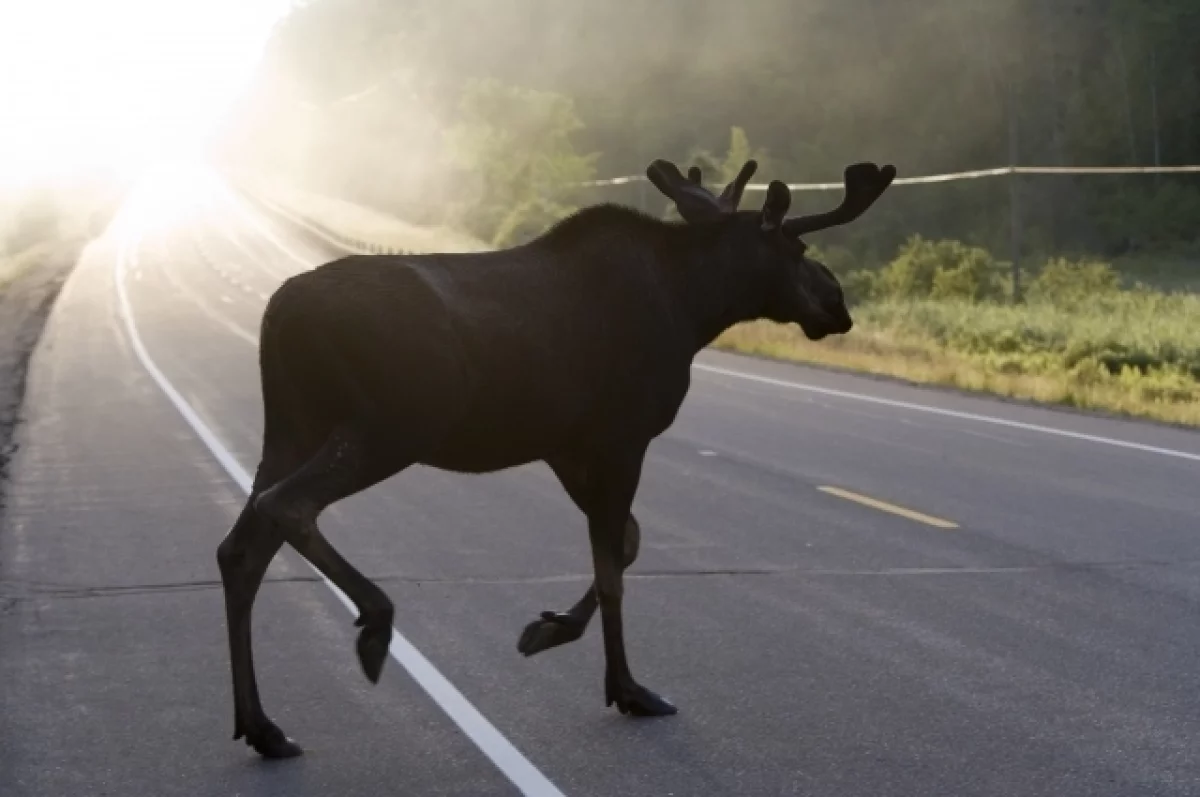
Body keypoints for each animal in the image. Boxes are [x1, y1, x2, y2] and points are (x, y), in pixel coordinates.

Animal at [216, 152, 897, 758]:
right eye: (797, 251)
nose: (838, 304)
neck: (695, 308)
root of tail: (277, 314)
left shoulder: (568, 446)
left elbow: (627, 543)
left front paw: (549, 628)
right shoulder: (621, 435)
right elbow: (613, 567)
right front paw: (626, 689)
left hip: (292, 428)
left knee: (240, 549)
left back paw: (263, 727)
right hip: (387, 427)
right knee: (287, 506)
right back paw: (374, 624)